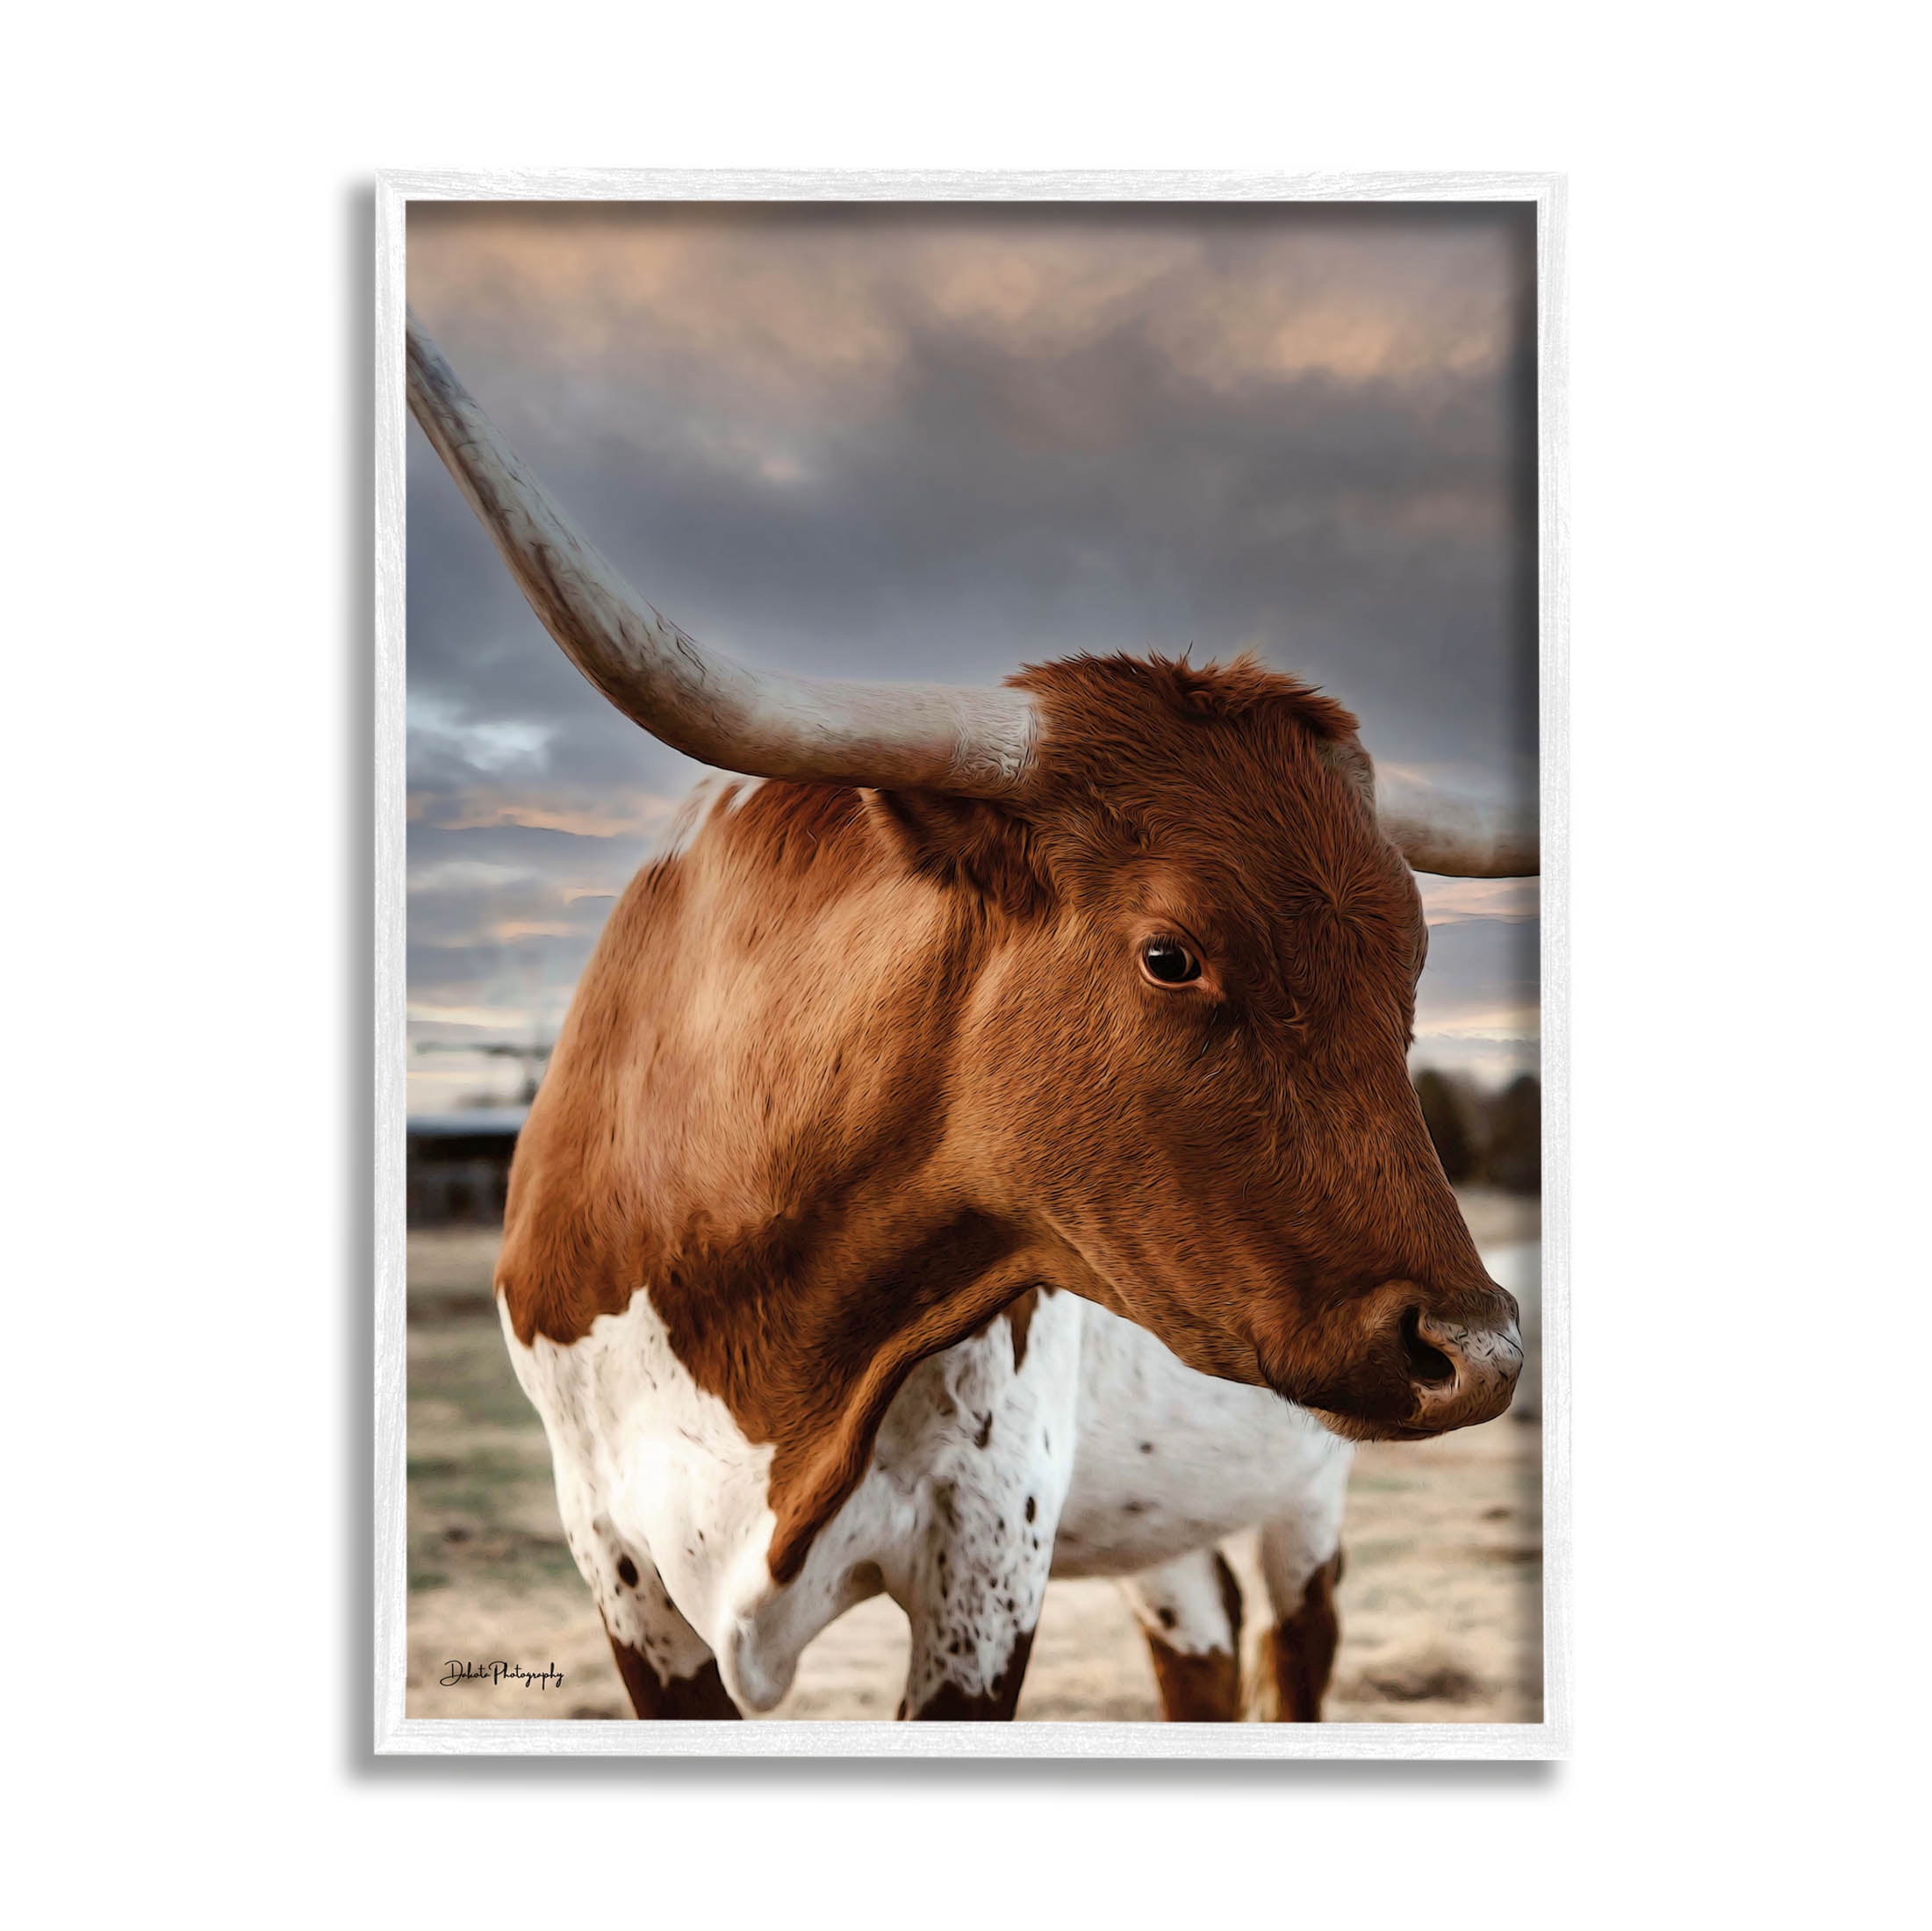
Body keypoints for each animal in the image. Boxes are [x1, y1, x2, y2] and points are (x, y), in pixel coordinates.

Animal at [406, 313, 1536, 1722]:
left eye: (1411, 968)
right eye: (1169, 954)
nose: (1478, 1350)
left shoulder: (988, 1541)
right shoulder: (617, 1562)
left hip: (1303, 1495)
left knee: (1293, 1648)